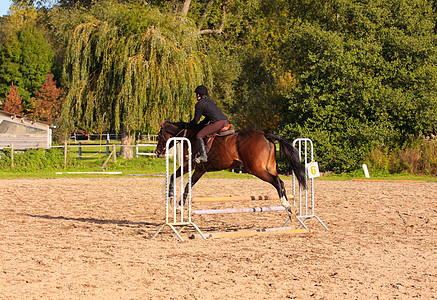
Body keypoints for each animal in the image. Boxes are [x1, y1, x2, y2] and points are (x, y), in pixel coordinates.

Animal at [154, 120, 306, 214]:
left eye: (159, 135)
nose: (157, 152)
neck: (189, 136)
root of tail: (265, 135)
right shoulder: (199, 170)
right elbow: (186, 185)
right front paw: (178, 205)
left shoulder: (189, 166)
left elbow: (176, 178)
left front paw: (173, 200)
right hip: (269, 167)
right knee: (280, 181)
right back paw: (289, 208)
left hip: (256, 169)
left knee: (276, 181)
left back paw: (285, 204)